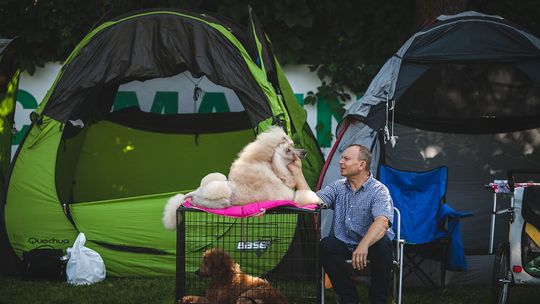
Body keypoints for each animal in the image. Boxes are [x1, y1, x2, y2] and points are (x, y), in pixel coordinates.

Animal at [162, 125, 318, 228]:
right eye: (288, 150)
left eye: (293, 145)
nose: (304, 152)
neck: (275, 170)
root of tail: (195, 191)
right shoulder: (289, 197)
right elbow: (303, 196)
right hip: (221, 191)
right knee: (201, 201)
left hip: (218, 177)